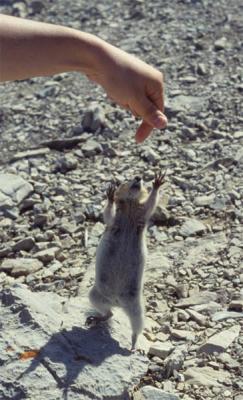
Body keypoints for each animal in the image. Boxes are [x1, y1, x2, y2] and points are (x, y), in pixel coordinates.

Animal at [86, 172, 166, 350]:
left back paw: (134, 344)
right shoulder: (115, 219)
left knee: (135, 325)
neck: (130, 205)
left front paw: (157, 183)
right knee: (109, 312)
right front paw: (110, 195)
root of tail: (118, 303)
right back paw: (97, 318)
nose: (138, 177)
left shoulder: (142, 214)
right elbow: (108, 215)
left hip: (137, 309)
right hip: (95, 296)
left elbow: (150, 204)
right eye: (125, 181)